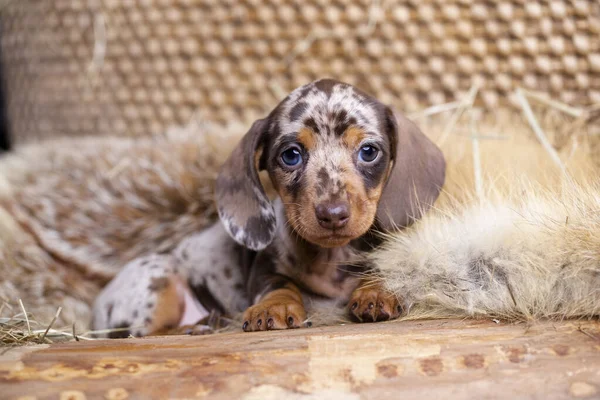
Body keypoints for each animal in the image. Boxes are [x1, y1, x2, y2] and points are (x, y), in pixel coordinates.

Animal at [92, 79, 446, 336]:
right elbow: (279, 284)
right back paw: (194, 328)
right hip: (158, 276)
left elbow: (380, 272)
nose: (332, 215)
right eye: (290, 155)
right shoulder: (264, 270)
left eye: (369, 151)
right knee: (144, 333)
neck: (331, 259)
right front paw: (274, 308)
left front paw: (376, 292)